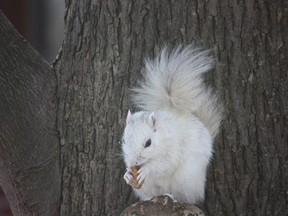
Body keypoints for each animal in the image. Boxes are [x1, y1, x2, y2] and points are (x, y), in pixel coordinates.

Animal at [121, 44, 223, 203]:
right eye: (124, 141)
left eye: (148, 143)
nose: (133, 162)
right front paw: (127, 173)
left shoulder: (173, 148)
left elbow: (165, 165)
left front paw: (146, 169)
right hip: (147, 187)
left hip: (186, 179)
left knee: (185, 197)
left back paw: (173, 197)